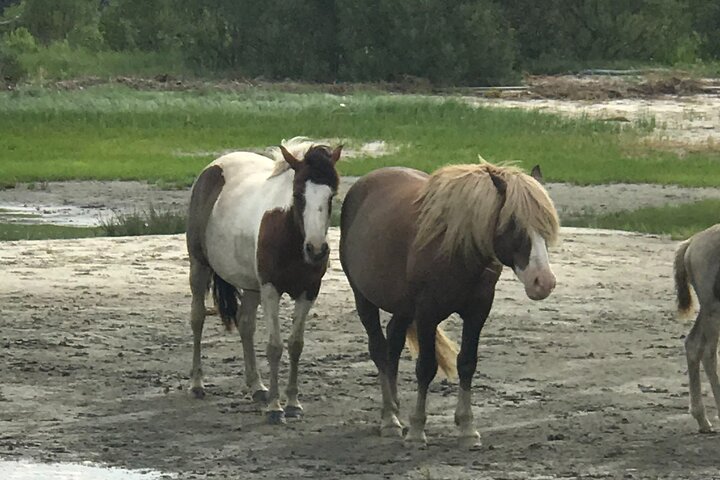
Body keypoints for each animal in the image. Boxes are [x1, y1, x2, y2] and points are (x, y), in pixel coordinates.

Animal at [186, 137, 342, 424]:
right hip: (199, 266)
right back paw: (197, 384)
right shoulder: (271, 290)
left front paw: (292, 403)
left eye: (331, 196)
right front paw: (275, 409)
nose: (316, 250)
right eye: (297, 195)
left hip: (251, 286)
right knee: (197, 318)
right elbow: (274, 347)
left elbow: (295, 345)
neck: (289, 235)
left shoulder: (308, 292)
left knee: (245, 324)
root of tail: (212, 168)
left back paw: (257, 387)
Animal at [339, 161, 559, 448]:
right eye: (513, 224)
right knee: (378, 349)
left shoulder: (478, 312)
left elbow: (467, 363)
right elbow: (425, 367)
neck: (457, 248)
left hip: (402, 308)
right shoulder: (426, 313)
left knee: (393, 345)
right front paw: (417, 430)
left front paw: (467, 428)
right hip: (364, 298)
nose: (543, 282)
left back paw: (395, 409)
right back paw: (389, 419)